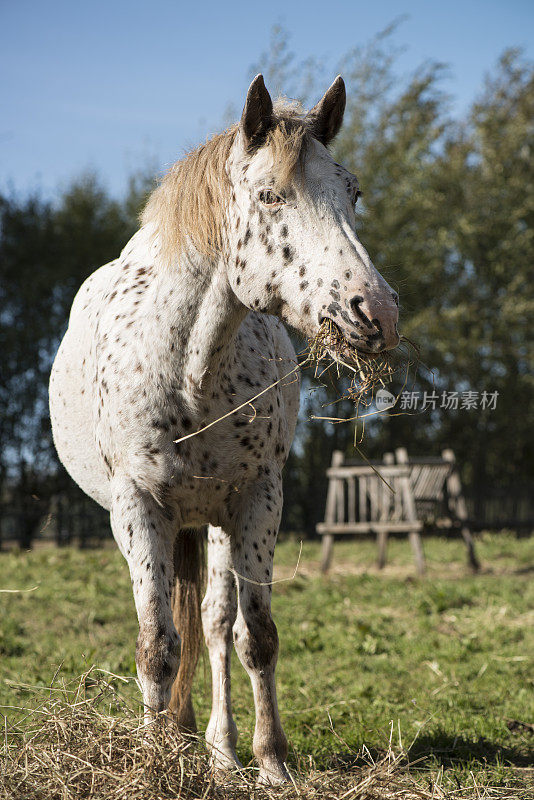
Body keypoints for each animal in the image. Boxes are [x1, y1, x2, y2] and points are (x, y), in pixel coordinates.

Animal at [50, 75, 400, 780]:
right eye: (270, 194)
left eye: (351, 193)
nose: (376, 311)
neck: (190, 366)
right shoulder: (137, 507)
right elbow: (155, 644)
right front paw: (155, 762)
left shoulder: (258, 498)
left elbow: (255, 636)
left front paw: (271, 762)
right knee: (173, 629)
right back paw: (180, 736)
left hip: (212, 518)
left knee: (213, 623)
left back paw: (216, 747)